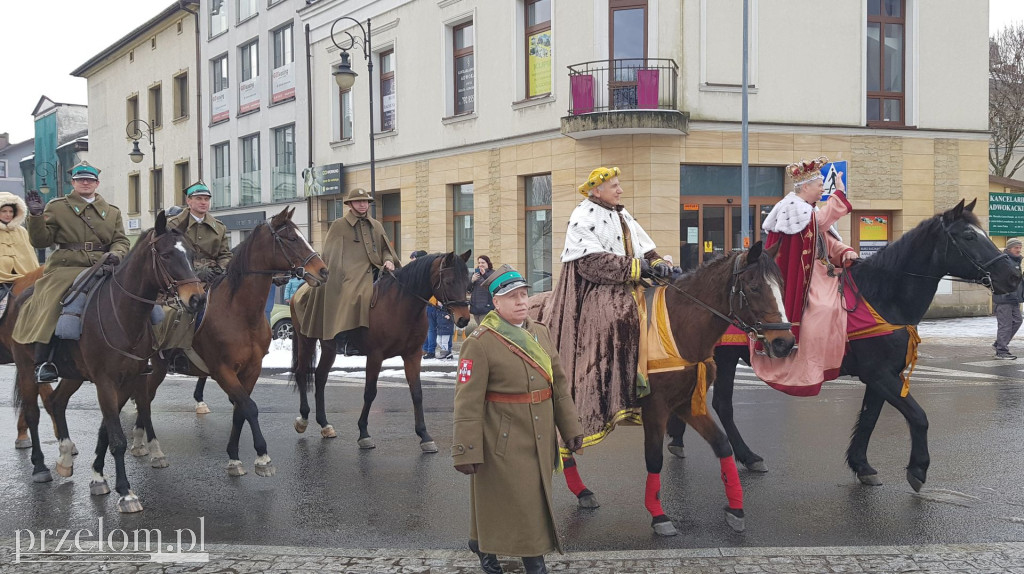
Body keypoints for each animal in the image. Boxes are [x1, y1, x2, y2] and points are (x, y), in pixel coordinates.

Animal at [11, 212, 203, 511]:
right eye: (167, 254)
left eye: (193, 254)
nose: (197, 298)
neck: (123, 315)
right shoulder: (105, 383)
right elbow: (117, 438)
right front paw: (125, 492)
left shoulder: (129, 381)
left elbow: (106, 432)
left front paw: (98, 478)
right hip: (25, 369)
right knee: (33, 412)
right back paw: (40, 466)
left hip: (73, 374)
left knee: (57, 402)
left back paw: (65, 457)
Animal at [123, 205, 325, 474]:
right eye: (292, 238)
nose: (323, 271)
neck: (240, 312)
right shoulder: (222, 370)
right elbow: (249, 407)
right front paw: (262, 456)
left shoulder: (251, 370)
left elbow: (240, 410)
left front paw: (234, 457)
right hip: (156, 366)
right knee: (145, 397)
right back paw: (145, 445)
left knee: (145, 396)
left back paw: (139, 440)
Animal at [290, 250, 473, 452]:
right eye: (449, 281)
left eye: (468, 283)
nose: (464, 319)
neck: (400, 305)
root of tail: (301, 289)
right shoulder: (375, 356)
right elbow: (370, 392)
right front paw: (363, 433)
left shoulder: (412, 355)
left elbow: (417, 393)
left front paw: (424, 435)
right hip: (306, 340)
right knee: (301, 373)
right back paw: (303, 419)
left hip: (328, 348)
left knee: (321, 377)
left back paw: (324, 424)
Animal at [532, 242, 794, 536]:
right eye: (754, 287)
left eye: (781, 285)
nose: (784, 342)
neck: (679, 327)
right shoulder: (655, 408)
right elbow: (654, 457)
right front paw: (658, 515)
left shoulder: (685, 404)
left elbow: (722, 445)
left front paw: (736, 507)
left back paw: (582, 492)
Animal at [667, 199, 1019, 491]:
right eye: (969, 236)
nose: (1013, 276)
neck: (883, 295)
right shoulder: (879, 374)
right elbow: (918, 416)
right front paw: (917, 470)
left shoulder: (881, 376)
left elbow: (869, 418)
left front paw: (862, 465)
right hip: (725, 358)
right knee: (722, 404)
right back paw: (747, 455)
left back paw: (678, 440)